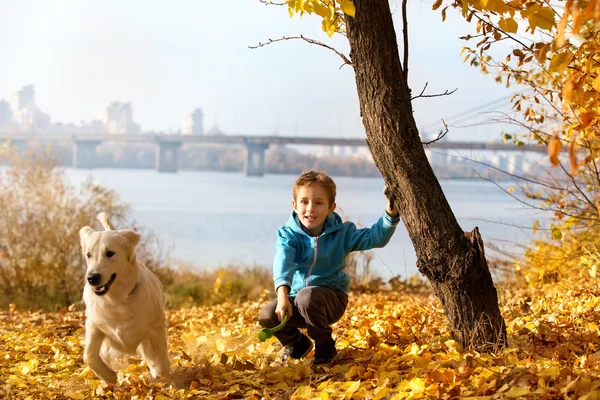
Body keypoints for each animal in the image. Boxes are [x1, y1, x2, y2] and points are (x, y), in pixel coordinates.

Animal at [78, 214, 170, 382]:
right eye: (88, 255)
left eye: (109, 253)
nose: (92, 278)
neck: (116, 299)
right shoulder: (95, 326)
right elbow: (88, 356)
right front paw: (109, 376)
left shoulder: (155, 328)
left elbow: (162, 362)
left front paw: (158, 370)